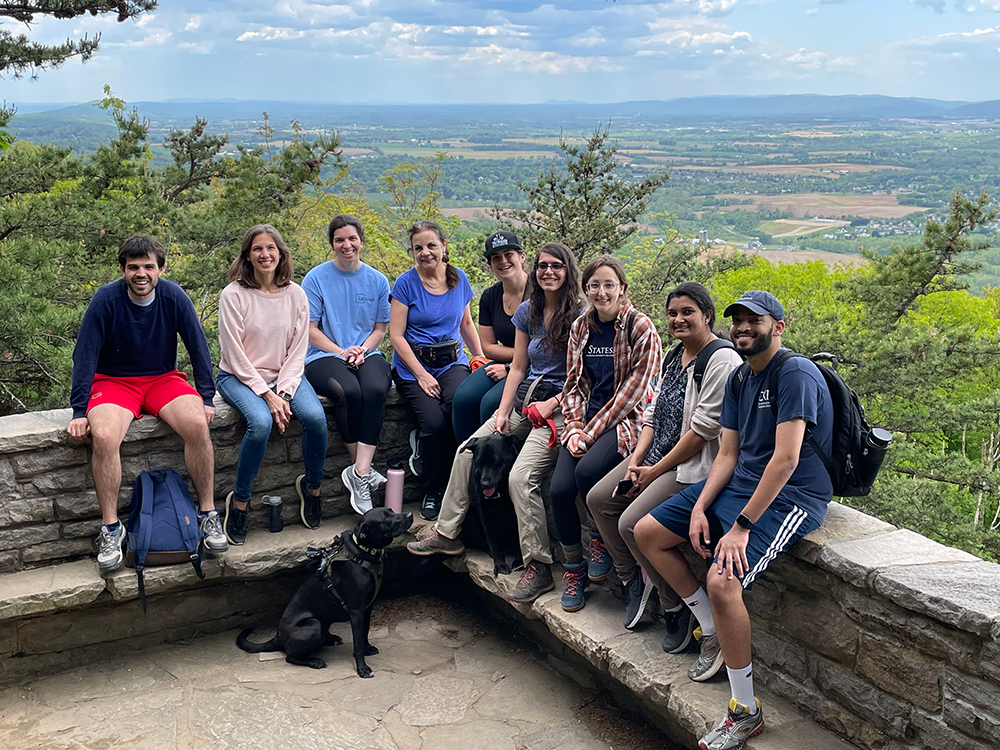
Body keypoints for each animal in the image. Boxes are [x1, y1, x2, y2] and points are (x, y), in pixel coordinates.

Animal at [236, 508, 412, 680]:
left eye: (392, 510)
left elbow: (365, 632)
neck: (364, 554)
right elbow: (358, 644)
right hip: (314, 625)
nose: (410, 515)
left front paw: (368, 648)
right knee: (290, 656)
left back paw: (331, 639)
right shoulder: (356, 611)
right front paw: (363, 669)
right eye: (386, 519)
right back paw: (314, 661)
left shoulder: (367, 608)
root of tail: (278, 636)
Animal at [460, 434, 524, 576]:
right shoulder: (483, 514)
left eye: (496, 462)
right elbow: (491, 540)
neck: (500, 490)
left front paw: (519, 561)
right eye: (479, 462)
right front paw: (500, 565)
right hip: (470, 516)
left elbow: (519, 538)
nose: (484, 484)